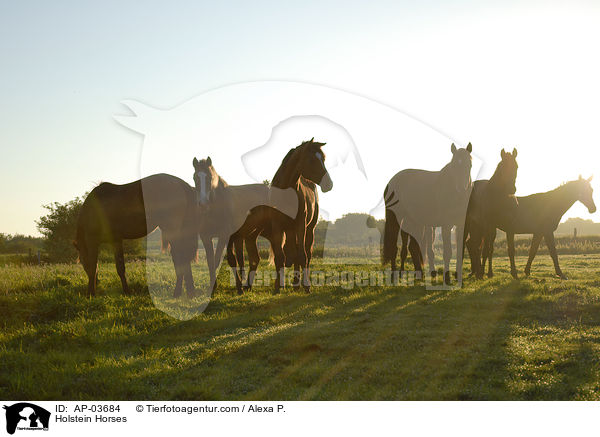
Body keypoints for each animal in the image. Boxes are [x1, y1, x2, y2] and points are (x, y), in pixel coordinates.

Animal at [229, 138, 336, 292]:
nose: (329, 184)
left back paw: (298, 283)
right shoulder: (278, 226)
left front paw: (306, 286)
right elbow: (280, 257)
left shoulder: (300, 225)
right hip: (284, 230)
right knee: (288, 253)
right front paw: (278, 288)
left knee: (305, 254)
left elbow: (302, 255)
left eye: (324, 159)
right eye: (311, 160)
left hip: (309, 229)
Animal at [384, 141, 474, 284]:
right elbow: (447, 252)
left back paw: (419, 275)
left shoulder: (461, 225)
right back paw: (394, 276)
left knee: (413, 247)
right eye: (454, 165)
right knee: (394, 247)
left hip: (413, 221)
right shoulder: (446, 225)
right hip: (395, 219)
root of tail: (391, 181)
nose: (461, 188)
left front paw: (458, 277)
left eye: (469, 165)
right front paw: (447, 277)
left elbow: (460, 250)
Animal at [464, 146, 520, 278]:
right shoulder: (489, 225)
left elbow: (510, 249)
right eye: (502, 167)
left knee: (473, 245)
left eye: (516, 166)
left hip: (478, 227)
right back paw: (477, 271)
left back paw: (476, 270)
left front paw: (514, 272)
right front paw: (484, 272)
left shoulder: (510, 226)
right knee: (471, 245)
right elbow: (487, 250)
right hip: (471, 226)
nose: (512, 189)